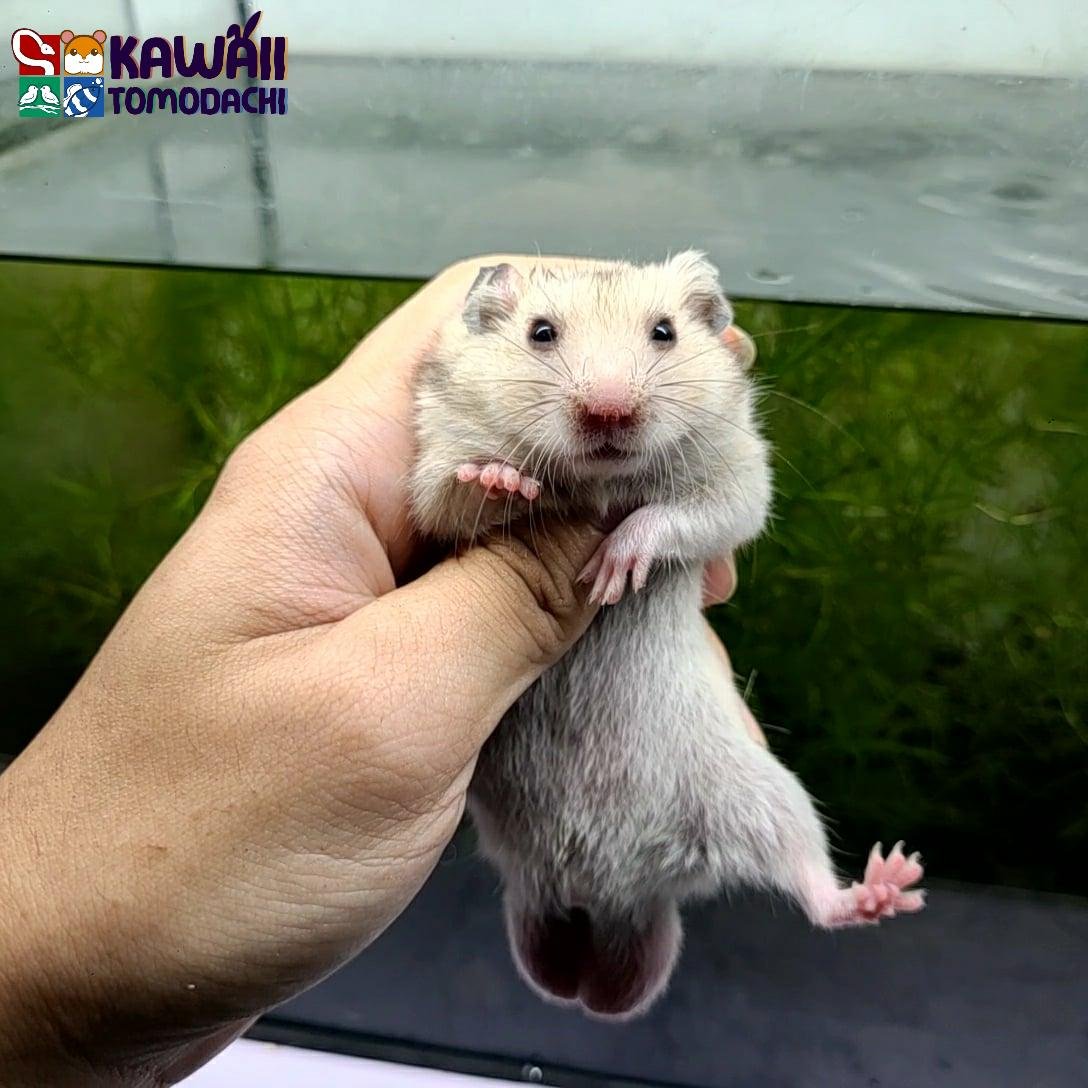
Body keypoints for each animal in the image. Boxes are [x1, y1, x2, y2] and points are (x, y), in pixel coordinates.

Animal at [409, 253, 925, 1020]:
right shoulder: (430, 464)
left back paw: (889, 882)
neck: (598, 479)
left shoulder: (738, 474)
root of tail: (607, 896)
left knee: (810, 882)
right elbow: (452, 493)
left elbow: (684, 514)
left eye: (665, 332)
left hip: (759, 794)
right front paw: (503, 479)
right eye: (540, 332)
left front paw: (614, 566)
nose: (610, 412)